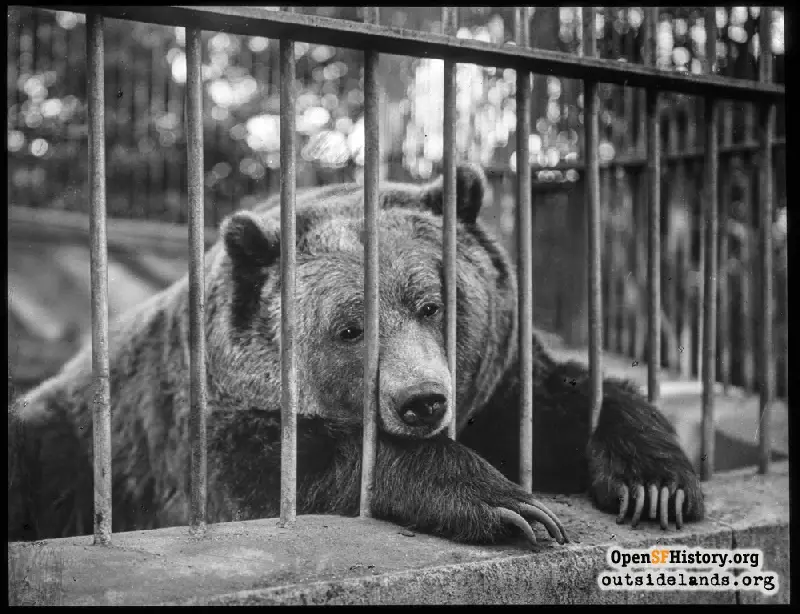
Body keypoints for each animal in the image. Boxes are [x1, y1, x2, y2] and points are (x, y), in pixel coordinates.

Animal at [8, 163, 703, 546]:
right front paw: (510, 505)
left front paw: (655, 486)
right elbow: (295, 468)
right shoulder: (214, 421)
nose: (422, 401)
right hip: (67, 450)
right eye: (348, 329)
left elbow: (567, 399)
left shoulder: (499, 382)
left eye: (432, 305)